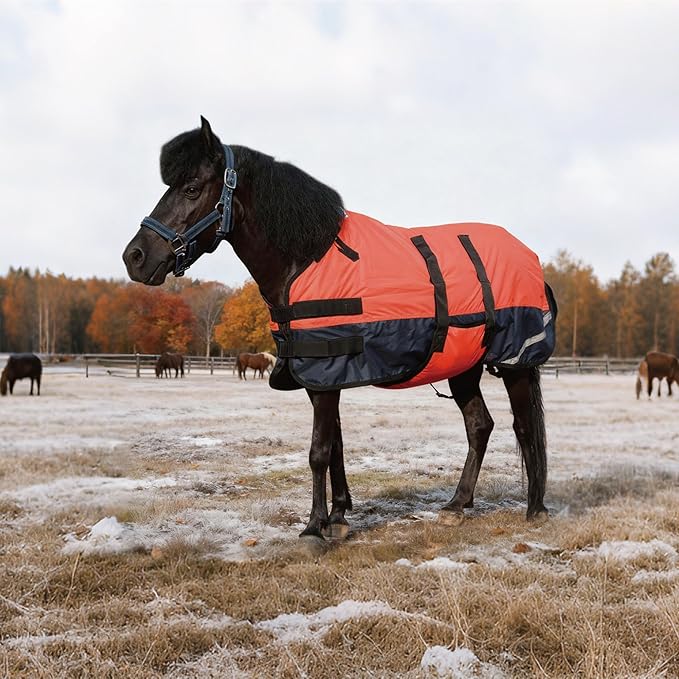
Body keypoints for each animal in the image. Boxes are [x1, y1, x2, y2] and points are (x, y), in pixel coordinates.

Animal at [123, 117, 555, 541]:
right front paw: (340, 516)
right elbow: (335, 448)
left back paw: (535, 509)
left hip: (515, 364)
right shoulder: (318, 376)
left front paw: (315, 527)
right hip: (462, 365)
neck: (304, 259)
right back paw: (457, 505)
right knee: (479, 426)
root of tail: (528, 255)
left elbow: (318, 451)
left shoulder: (326, 373)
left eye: (192, 188)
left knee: (523, 426)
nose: (135, 257)